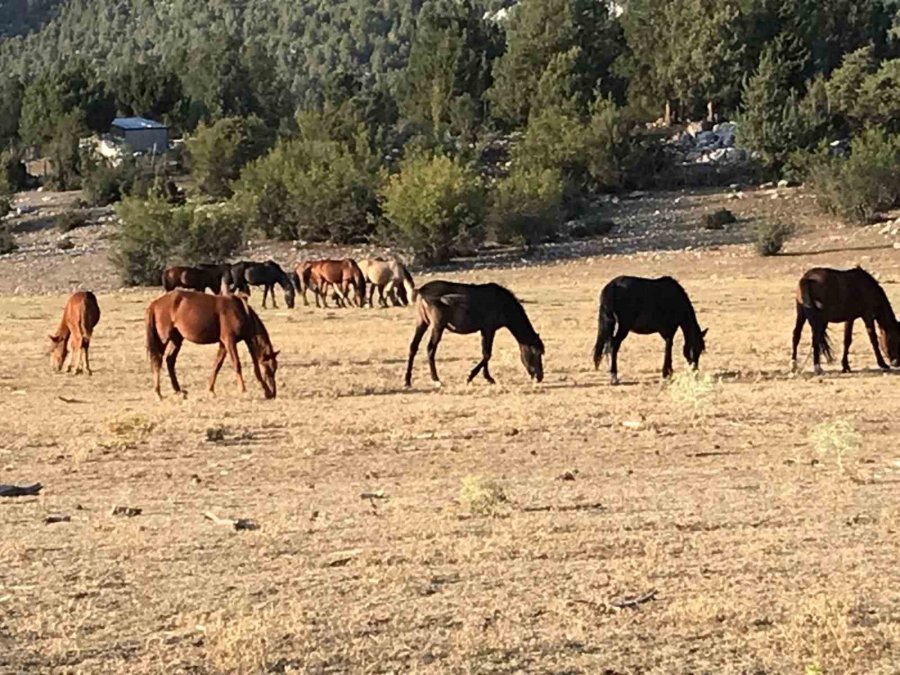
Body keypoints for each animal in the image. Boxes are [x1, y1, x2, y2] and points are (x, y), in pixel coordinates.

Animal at [145, 290, 278, 402]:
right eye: (268, 370)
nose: (273, 393)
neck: (241, 312)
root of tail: (155, 303)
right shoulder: (229, 340)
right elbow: (236, 364)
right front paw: (244, 391)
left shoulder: (223, 344)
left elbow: (217, 365)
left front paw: (210, 390)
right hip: (163, 338)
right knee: (158, 360)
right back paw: (158, 393)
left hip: (177, 339)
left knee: (170, 360)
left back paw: (178, 391)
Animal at [404, 280, 544, 386]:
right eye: (536, 352)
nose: (540, 376)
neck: (503, 304)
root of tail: (421, 290)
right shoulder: (489, 329)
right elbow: (487, 354)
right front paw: (471, 377)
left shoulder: (484, 330)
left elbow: (485, 353)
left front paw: (487, 377)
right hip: (437, 327)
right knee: (430, 349)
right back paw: (436, 379)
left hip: (422, 322)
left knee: (413, 347)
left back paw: (407, 381)